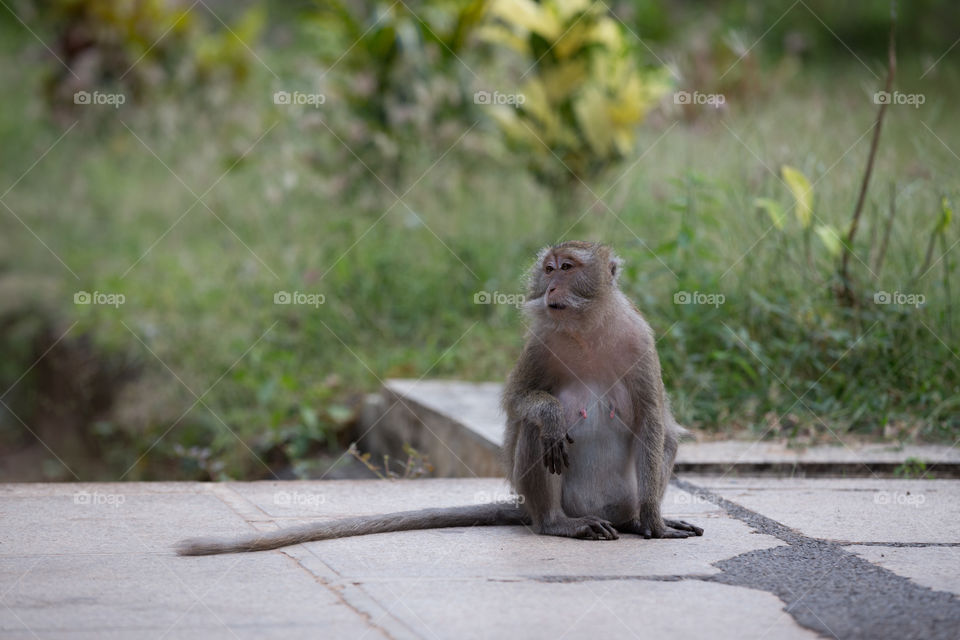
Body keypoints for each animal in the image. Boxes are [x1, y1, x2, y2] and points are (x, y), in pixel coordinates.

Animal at [174, 241, 696, 556]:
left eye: (567, 269)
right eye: (548, 269)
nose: (550, 286)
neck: (586, 333)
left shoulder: (640, 342)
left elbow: (653, 421)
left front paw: (655, 521)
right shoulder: (539, 343)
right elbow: (518, 404)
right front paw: (547, 413)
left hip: (620, 498)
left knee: (666, 439)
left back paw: (635, 520)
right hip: (558, 501)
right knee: (536, 435)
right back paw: (555, 523)